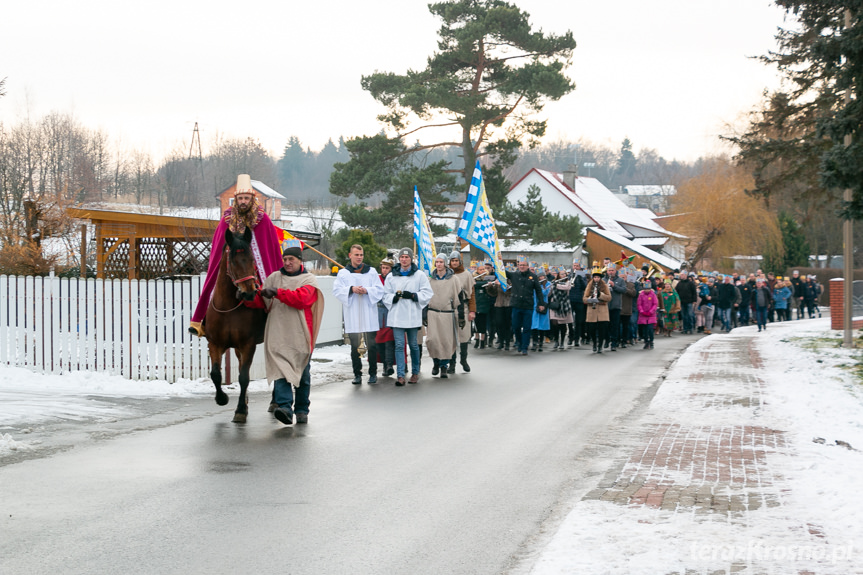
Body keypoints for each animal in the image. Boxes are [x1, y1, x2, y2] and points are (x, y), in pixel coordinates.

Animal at [202, 228, 266, 424]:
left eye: (252, 259)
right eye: (233, 261)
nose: (250, 293)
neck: (228, 307)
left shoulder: (248, 344)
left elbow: (244, 377)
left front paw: (240, 410)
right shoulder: (215, 344)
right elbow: (216, 374)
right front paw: (222, 398)